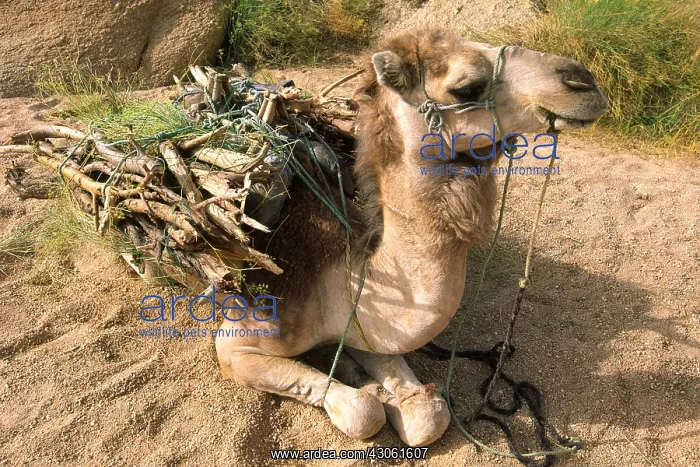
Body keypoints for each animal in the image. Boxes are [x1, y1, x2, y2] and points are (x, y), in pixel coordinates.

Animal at [215, 27, 608, 447]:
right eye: (467, 86)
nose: (582, 80)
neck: (338, 279)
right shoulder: (238, 342)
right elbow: (362, 411)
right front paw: (365, 387)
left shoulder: (363, 329)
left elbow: (429, 416)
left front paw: (374, 385)